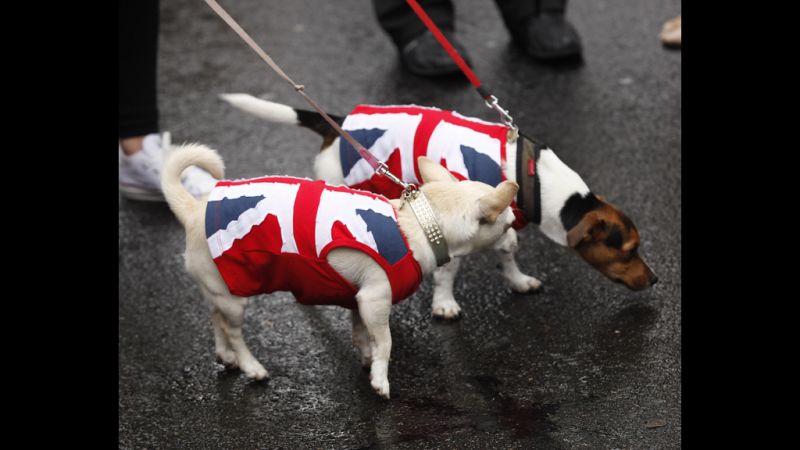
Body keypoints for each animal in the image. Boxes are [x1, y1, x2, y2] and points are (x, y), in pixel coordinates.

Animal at [161, 143, 520, 398]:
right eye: (508, 225)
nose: (516, 243)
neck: (419, 222)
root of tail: (193, 210)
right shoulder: (375, 300)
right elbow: (386, 342)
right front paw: (380, 379)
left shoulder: (358, 299)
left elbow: (363, 333)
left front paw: (367, 358)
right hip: (237, 297)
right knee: (234, 331)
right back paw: (251, 367)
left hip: (220, 289)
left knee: (215, 317)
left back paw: (225, 355)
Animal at [220, 94, 656, 320]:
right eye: (629, 251)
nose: (655, 280)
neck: (539, 181)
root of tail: (339, 123)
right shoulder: (458, 228)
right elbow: (448, 273)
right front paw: (444, 304)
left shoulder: (503, 227)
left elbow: (507, 255)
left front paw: (517, 281)